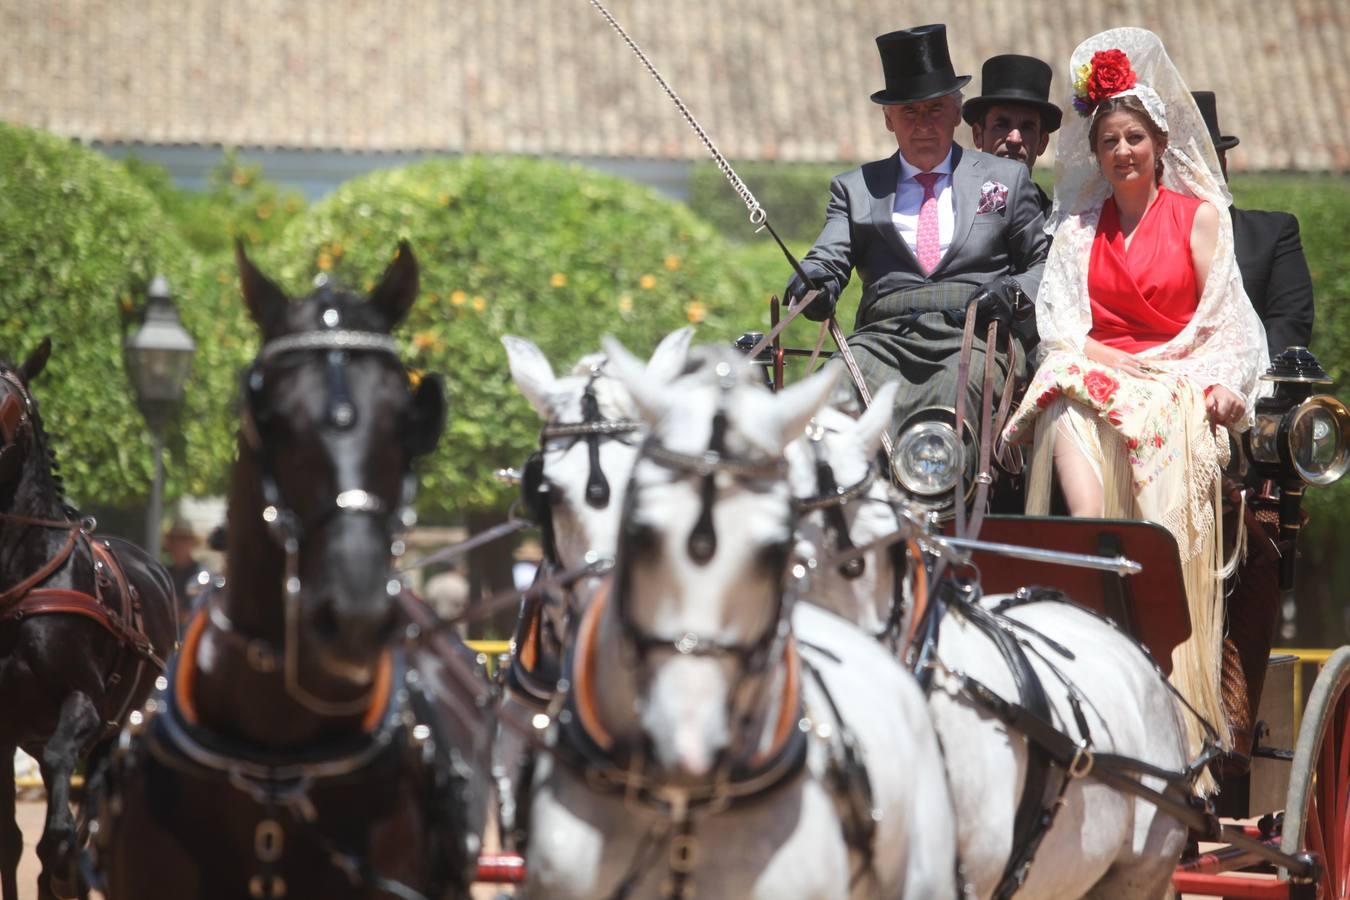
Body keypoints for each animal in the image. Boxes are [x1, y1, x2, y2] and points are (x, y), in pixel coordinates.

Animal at [0, 340, 176, 900]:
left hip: (118, 728)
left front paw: (62, 859)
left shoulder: (86, 702)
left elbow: (62, 818)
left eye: (9, 408)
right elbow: (9, 840)